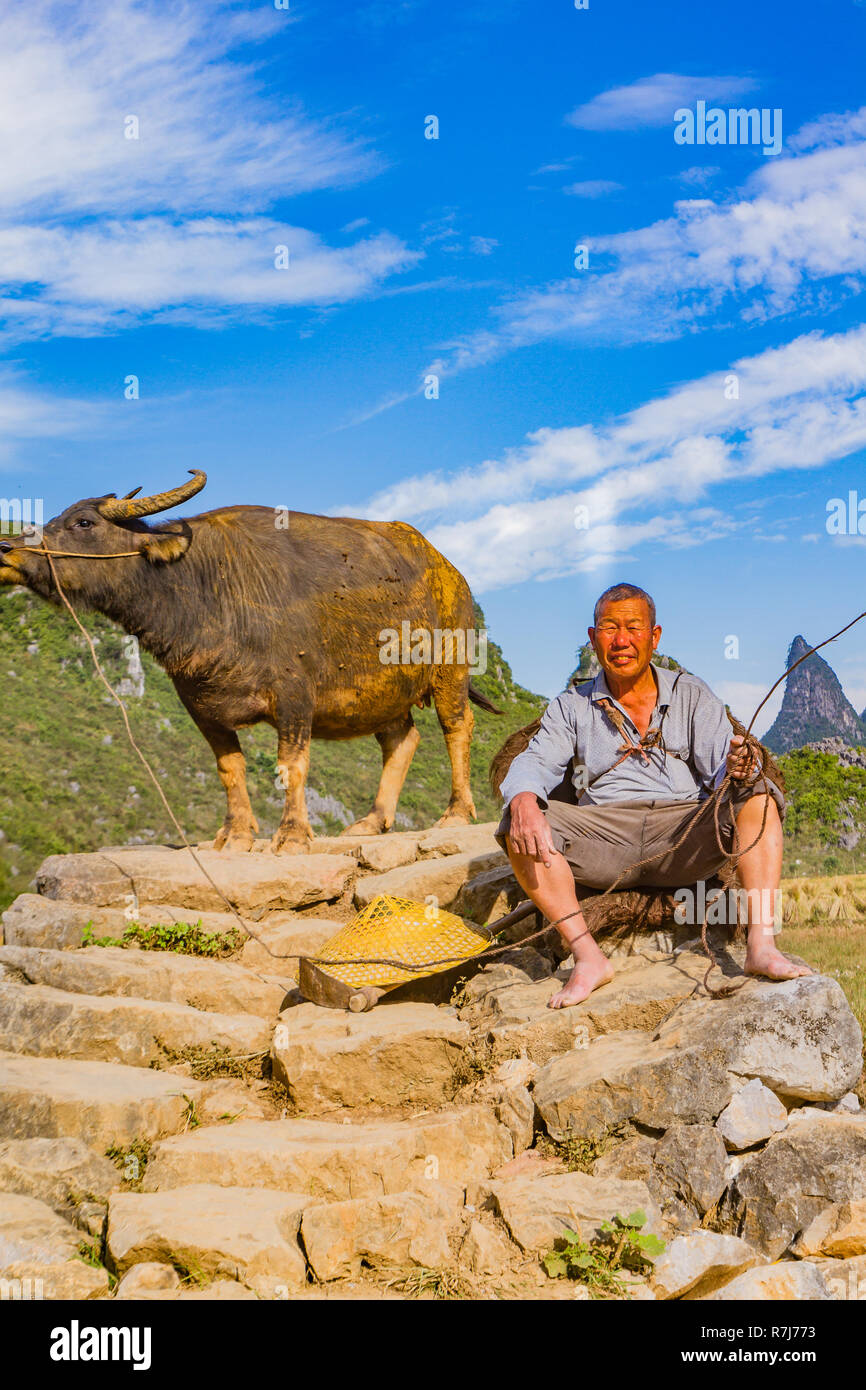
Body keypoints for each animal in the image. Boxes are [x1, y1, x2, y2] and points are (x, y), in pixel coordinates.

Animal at [0, 472, 500, 850]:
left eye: (83, 521)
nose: (7, 550)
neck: (208, 589)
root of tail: (449, 571)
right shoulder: (200, 706)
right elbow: (230, 769)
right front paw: (236, 835)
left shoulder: (296, 697)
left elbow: (291, 765)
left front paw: (293, 835)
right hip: (384, 694)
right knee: (401, 740)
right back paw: (371, 821)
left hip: (451, 669)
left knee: (457, 727)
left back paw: (456, 813)